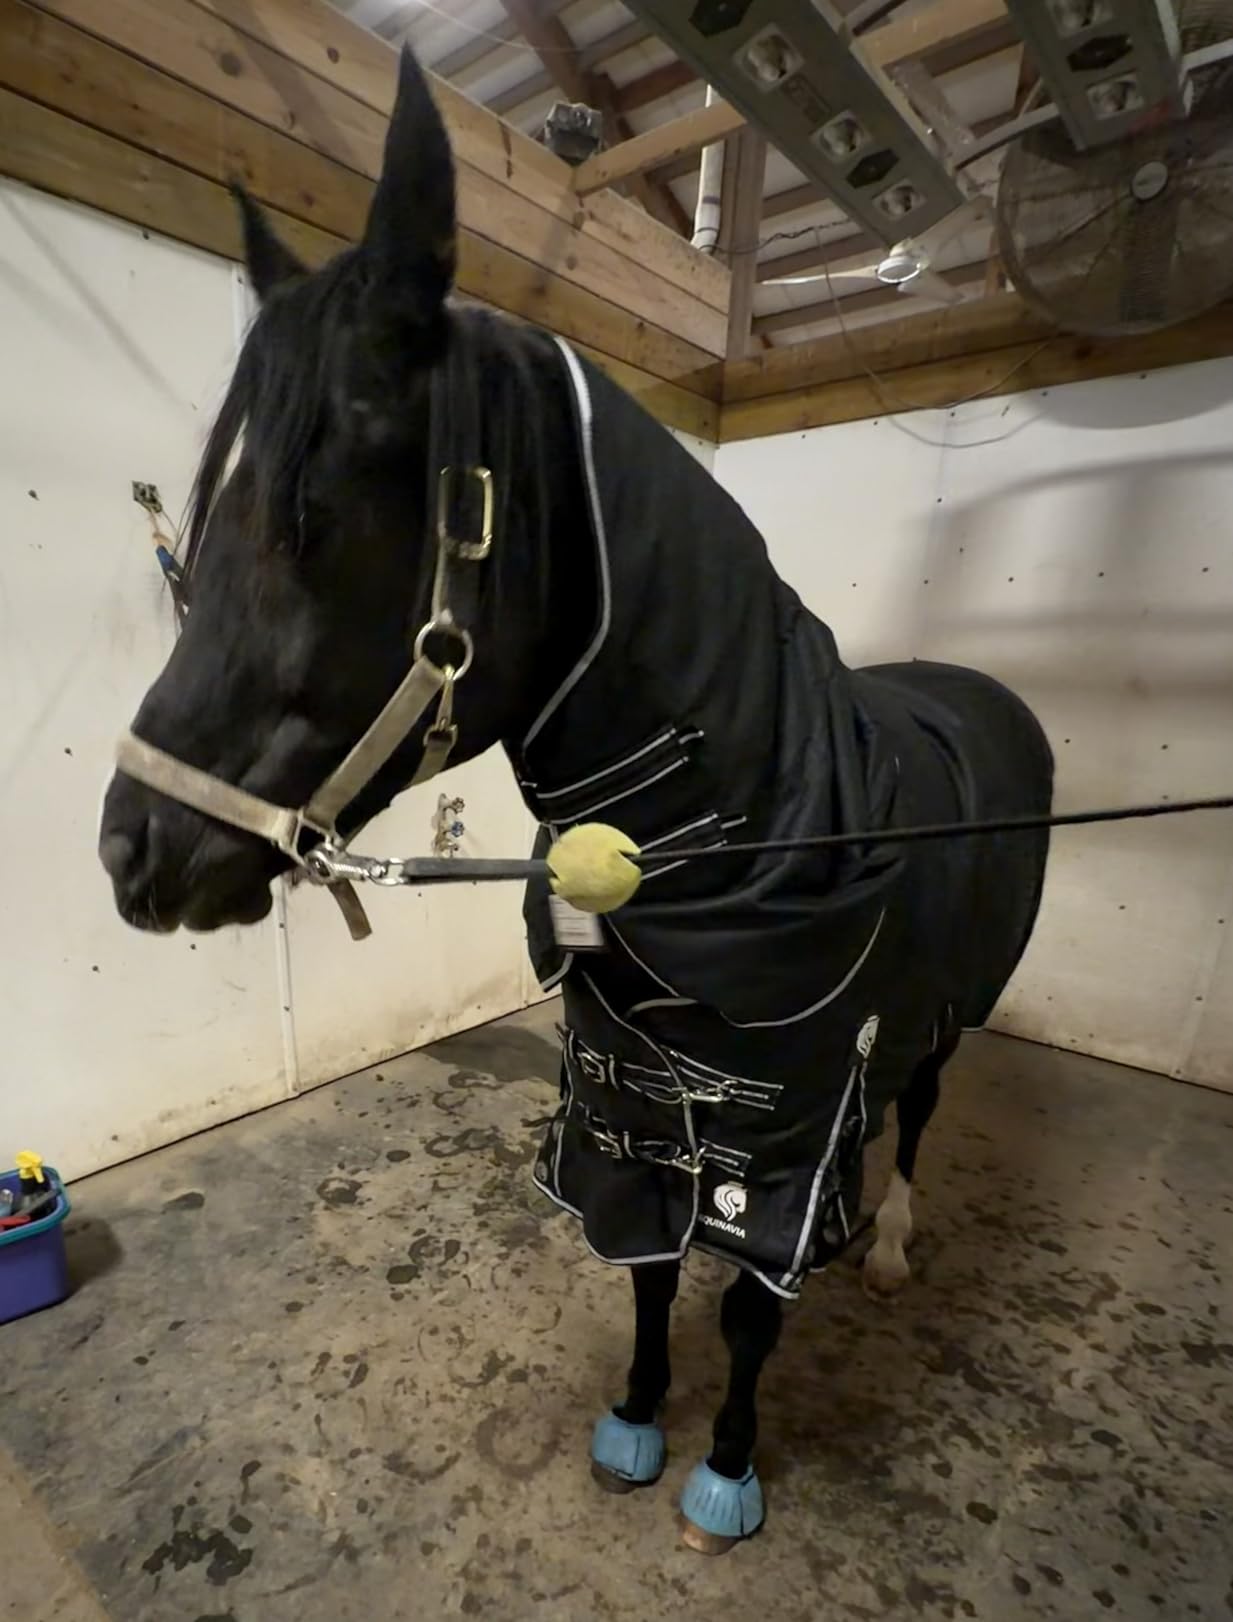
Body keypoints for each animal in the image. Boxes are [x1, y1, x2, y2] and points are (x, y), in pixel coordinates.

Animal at [98, 47, 1053, 1554]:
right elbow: (648, 1270)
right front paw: (637, 1416)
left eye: (315, 516)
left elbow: (748, 1311)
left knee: (921, 1114)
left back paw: (898, 1246)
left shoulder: (788, 1157)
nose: (130, 851)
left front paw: (727, 1466)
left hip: (946, 1024)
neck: (738, 851)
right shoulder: (625, 1126)